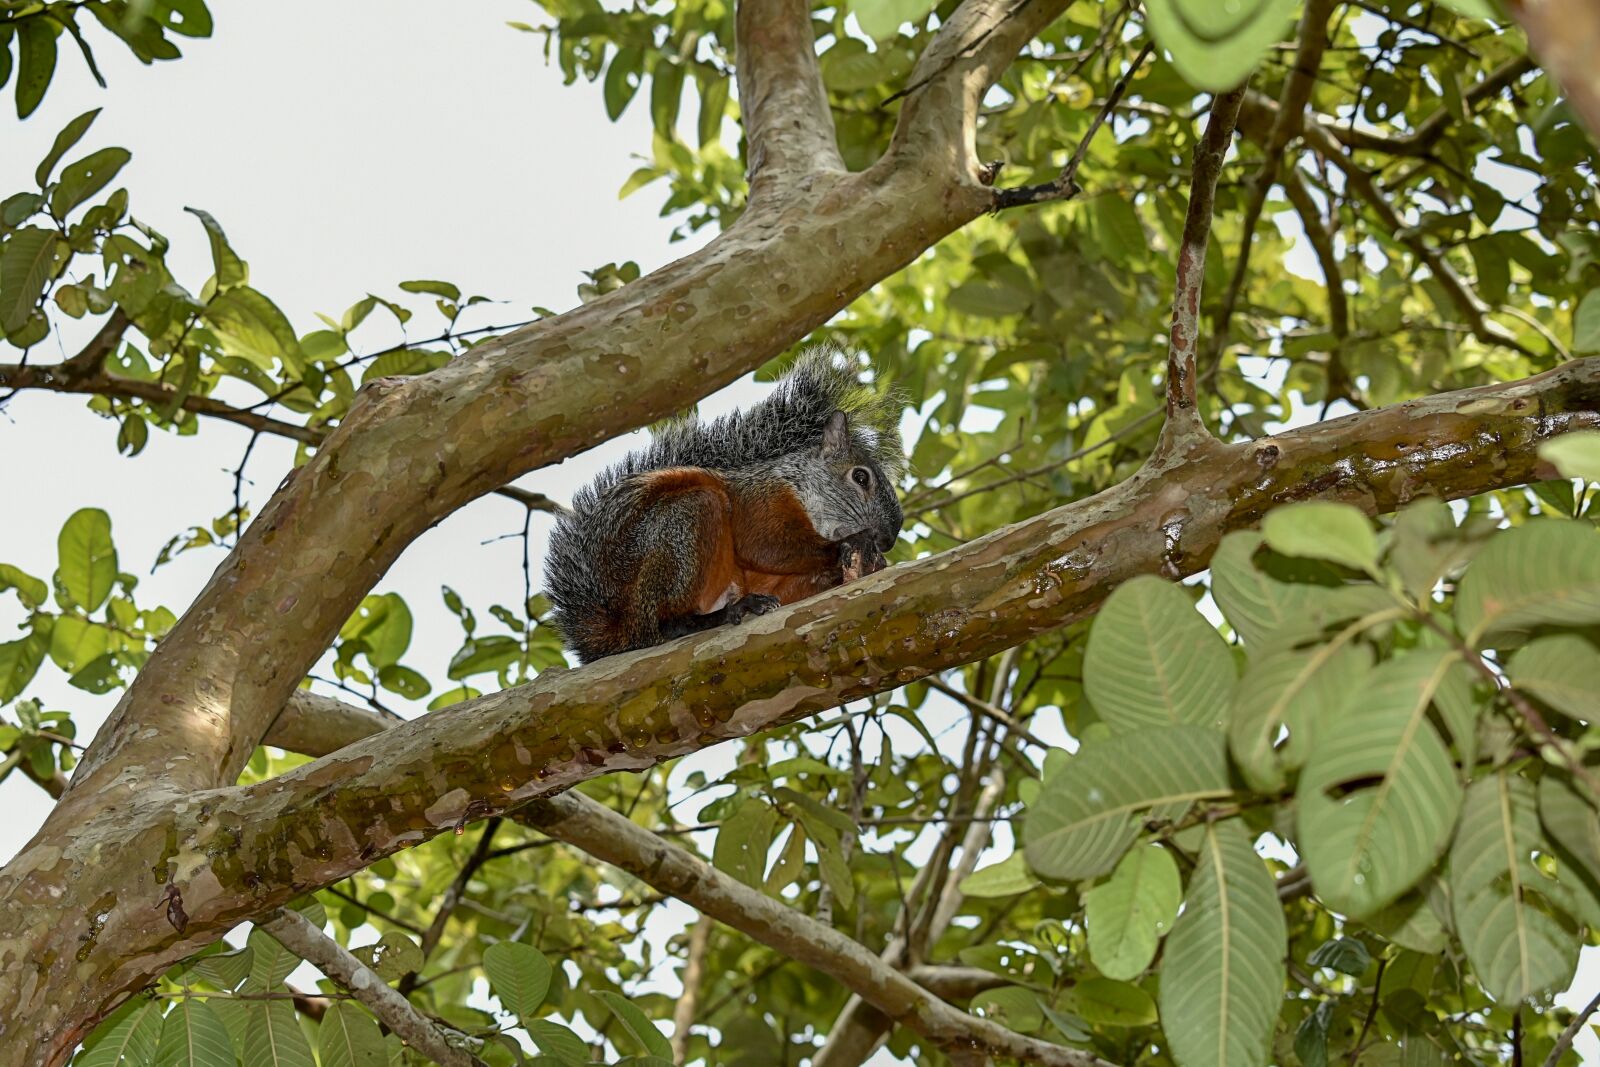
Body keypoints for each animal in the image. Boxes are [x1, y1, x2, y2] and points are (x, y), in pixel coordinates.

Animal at [544, 346, 906, 663]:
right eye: (861, 477)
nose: (888, 540)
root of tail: (620, 631)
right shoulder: (761, 499)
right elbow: (764, 545)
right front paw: (855, 542)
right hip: (683, 530)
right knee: (666, 624)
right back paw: (718, 616)